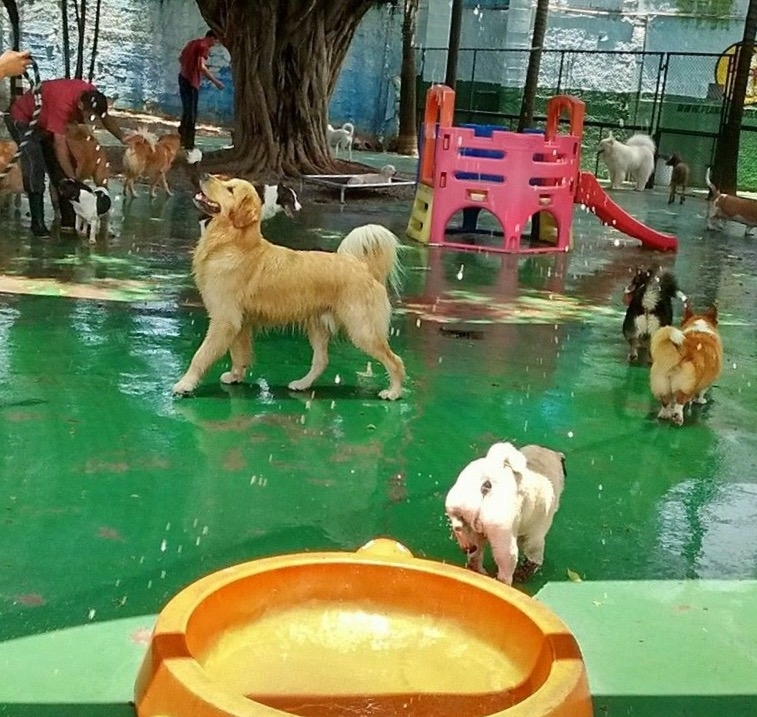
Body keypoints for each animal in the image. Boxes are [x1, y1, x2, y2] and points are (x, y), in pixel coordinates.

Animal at [173, 172, 408, 398]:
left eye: (230, 189)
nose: (203, 174)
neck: (233, 243)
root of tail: (364, 267)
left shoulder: (225, 321)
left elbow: (201, 356)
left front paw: (185, 384)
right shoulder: (240, 324)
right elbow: (239, 355)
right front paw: (235, 376)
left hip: (362, 330)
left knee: (395, 360)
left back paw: (393, 392)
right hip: (318, 326)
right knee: (322, 361)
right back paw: (302, 384)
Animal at [442, 440, 568, 584]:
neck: (538, 467)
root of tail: (487, 483)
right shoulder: (536, 535)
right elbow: (533, 557)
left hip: (460, 508)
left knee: (472, 550)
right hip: (504, 541)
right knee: (504, 570)